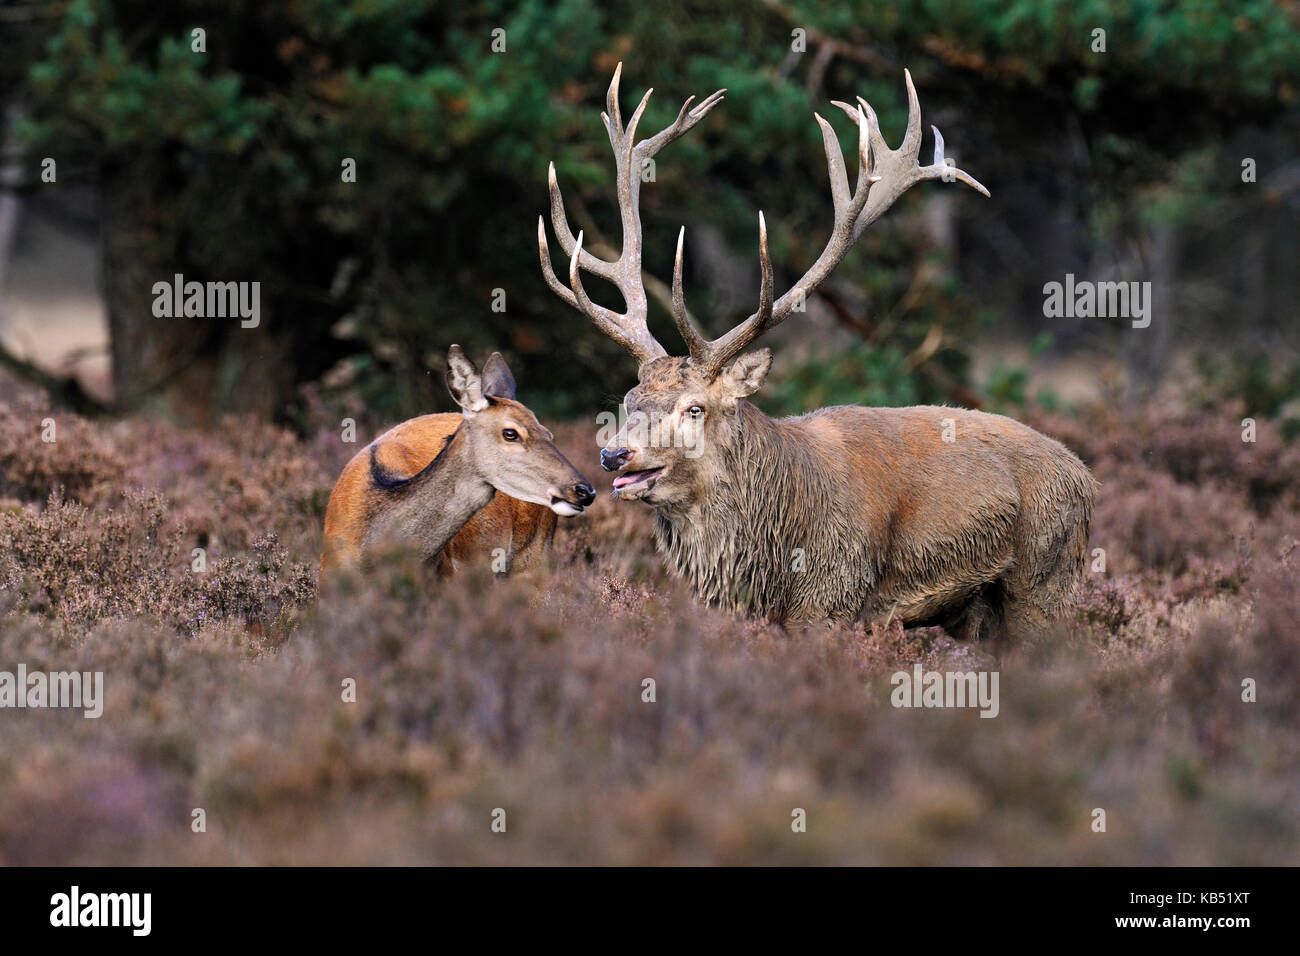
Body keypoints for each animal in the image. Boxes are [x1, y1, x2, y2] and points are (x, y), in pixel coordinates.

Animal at [538, 63, 1097, 639]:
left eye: (695, 408)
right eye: (630, 399)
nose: (614, 454)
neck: (774, 560)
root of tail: (1084, 475)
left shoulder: (834, 596)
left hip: (1045, 580)